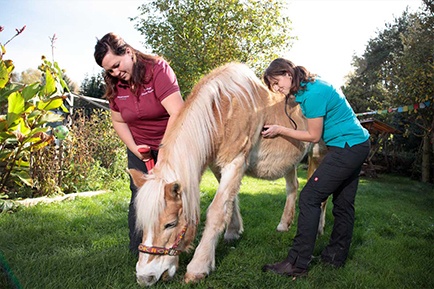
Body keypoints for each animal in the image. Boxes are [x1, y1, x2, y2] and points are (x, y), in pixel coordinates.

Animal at [129, 62, 326, 284]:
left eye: (170, 224)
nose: (145, 276)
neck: (223, 110)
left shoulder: (235, 162)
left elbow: (217, 210)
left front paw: (199, 266)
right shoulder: (218, 166)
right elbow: (230, 201)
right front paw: (233, 232)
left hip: (319, 153)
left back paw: (319, 228)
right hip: (291, 162)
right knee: (292, 187)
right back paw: (284, 225)